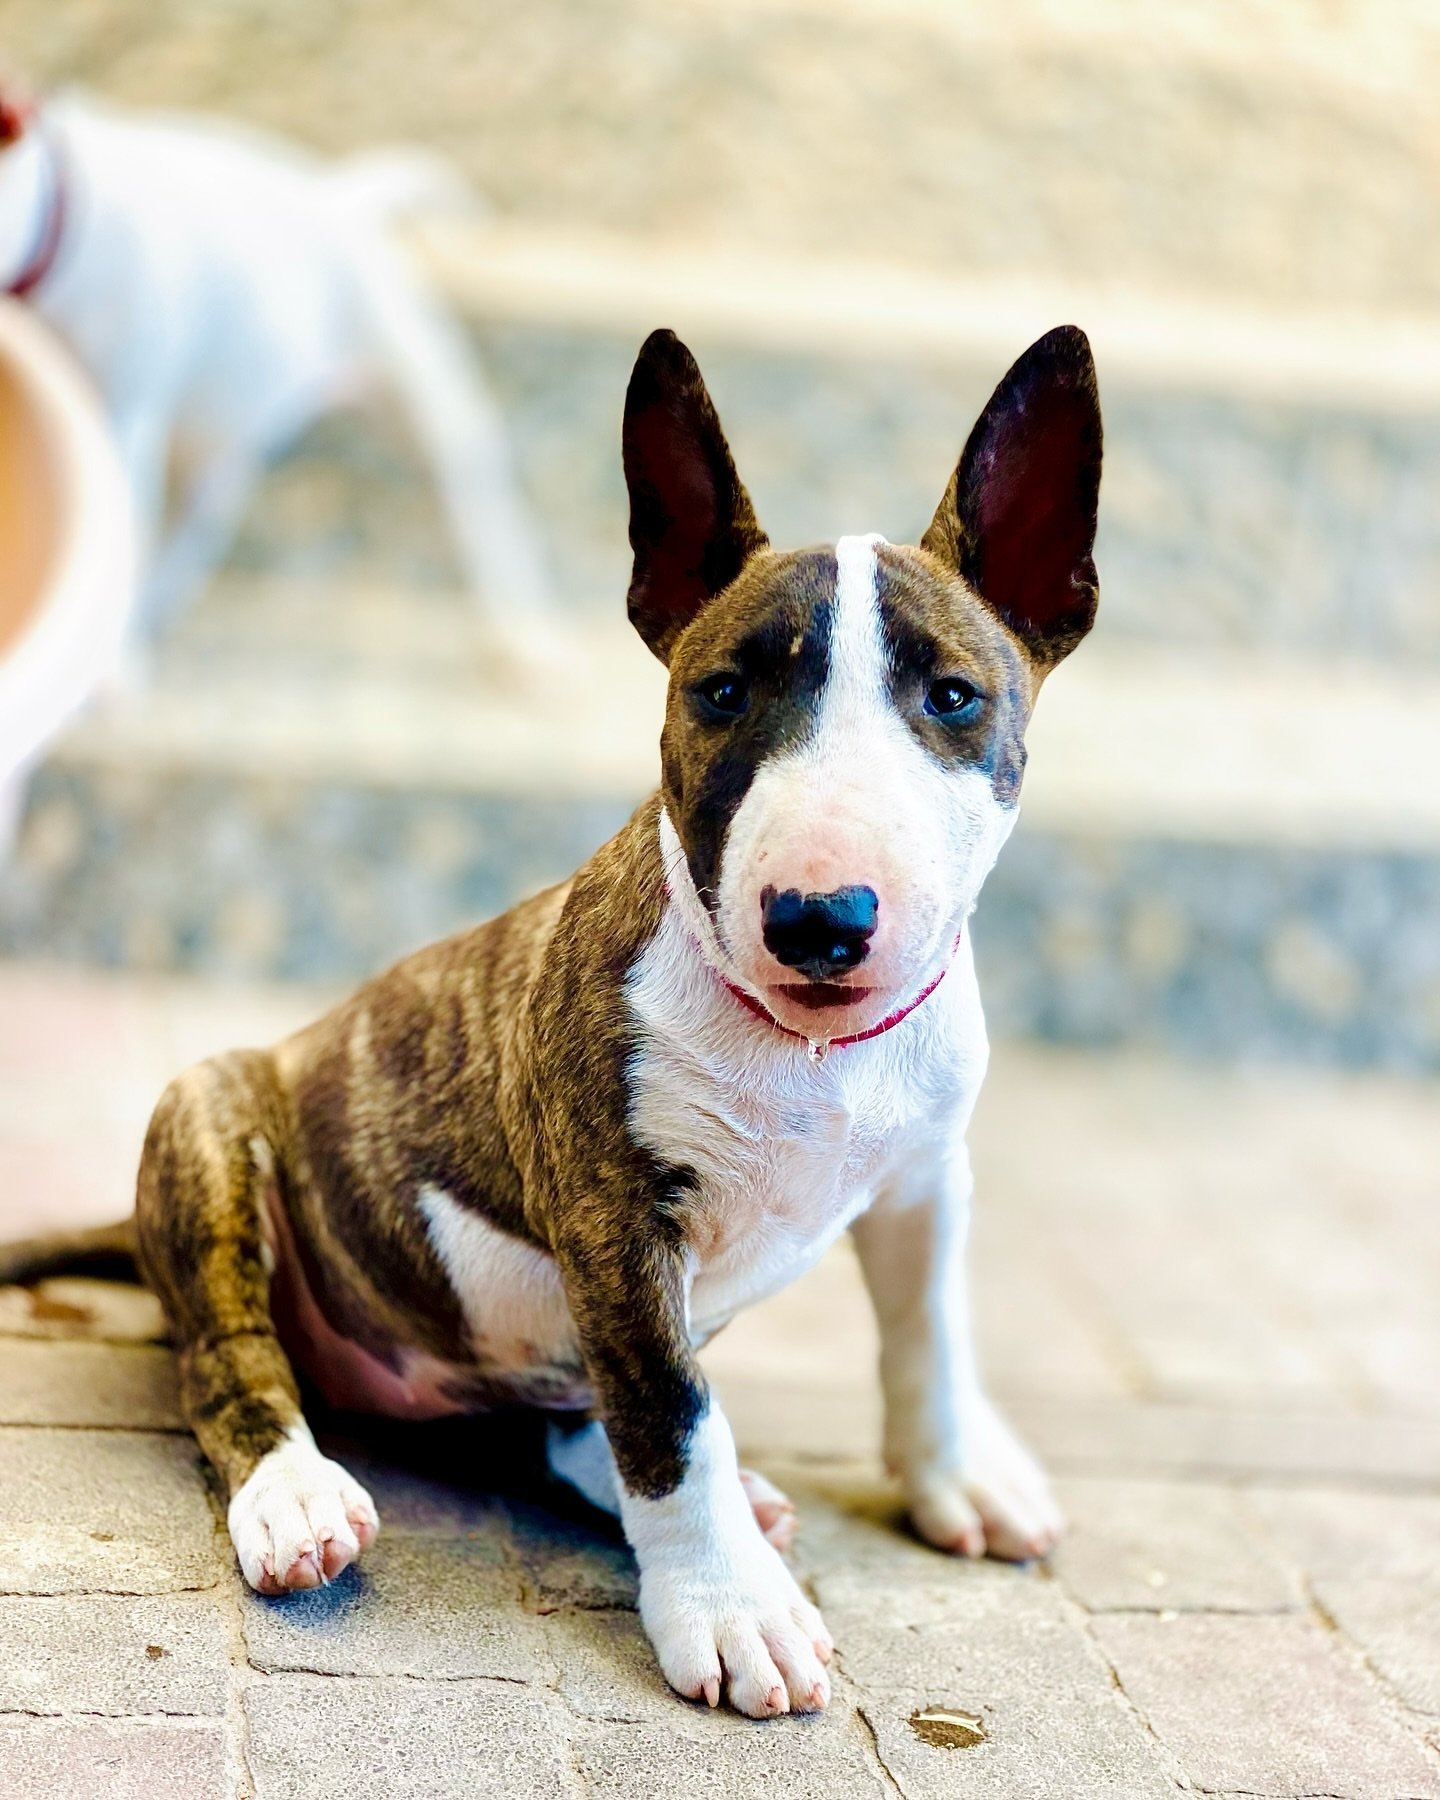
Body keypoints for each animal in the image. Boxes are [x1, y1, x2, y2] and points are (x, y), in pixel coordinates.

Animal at [0, 84, 550, 636]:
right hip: (226, 432)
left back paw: (532, 633)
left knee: (477, 484)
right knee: (212, 509)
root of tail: (344, 203)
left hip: (416, 388)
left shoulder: (125, 414)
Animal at [6, 323, 1101, 1717]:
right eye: (722, 694)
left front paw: (958, 1477)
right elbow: (670, 1416)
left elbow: (928, 1334)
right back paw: (295, 1495)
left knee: (564, 1425)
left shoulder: (922, 1177)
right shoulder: (613, 1217)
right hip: (208, 1121)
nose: (819, 919)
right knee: (233, 1360)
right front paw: (735, 1613)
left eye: (954, 698)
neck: (809, 1045)